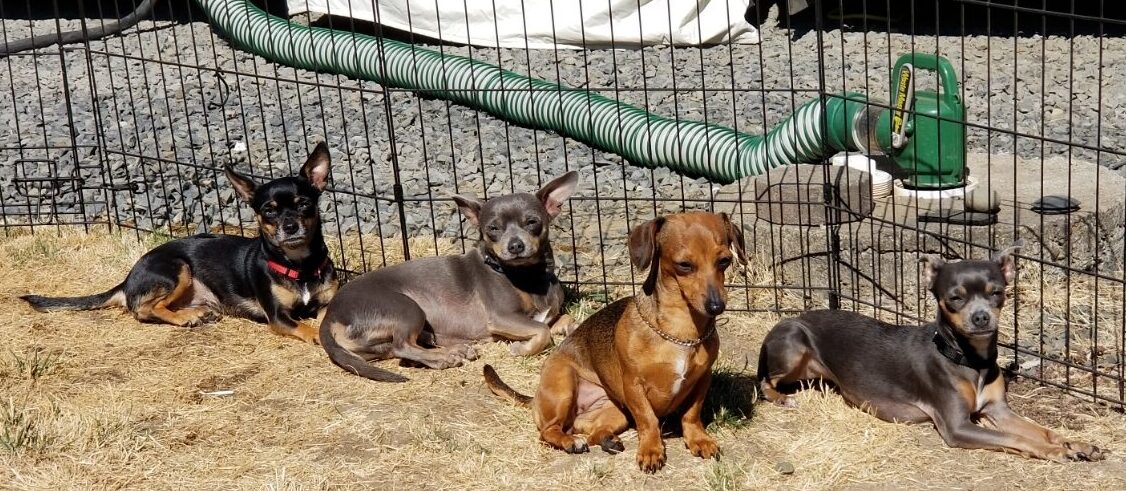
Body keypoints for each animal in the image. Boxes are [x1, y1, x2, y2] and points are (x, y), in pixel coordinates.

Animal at [19, 141, 335, 342]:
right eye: (269, 210)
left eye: (304, 204)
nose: (290, 226)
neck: (299, 266)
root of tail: (128, 279)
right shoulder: (278, 317)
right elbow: (306, 328)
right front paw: (316, 336)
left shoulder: (326, 302)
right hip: (177, 269)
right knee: (142, 309)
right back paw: (185, 318)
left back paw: (197, 311)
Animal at [319, 171, 576, 380]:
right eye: (493, 228)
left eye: (532, 222)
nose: (515, 246)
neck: (528, 276)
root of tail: (330, 314)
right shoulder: (502, 317)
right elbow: (542, 331)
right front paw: (522, 349)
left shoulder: (546, 316)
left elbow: (563, 320)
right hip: (407, 308)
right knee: (402, 345)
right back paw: (445, 357)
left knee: (398, 349)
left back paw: (450, 350)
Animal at [761, 245, 1103, 463]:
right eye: (955, 298)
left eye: (997, 293)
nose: (981, 317)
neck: (970, 360)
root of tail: (790, 317)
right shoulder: (958, 426)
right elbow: (1018, 439)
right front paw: (1056, 451)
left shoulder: (998, 410)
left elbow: (1042, 430)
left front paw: (1076, 443)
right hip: (793, 342)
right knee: (765, 383)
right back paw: (782, 399)